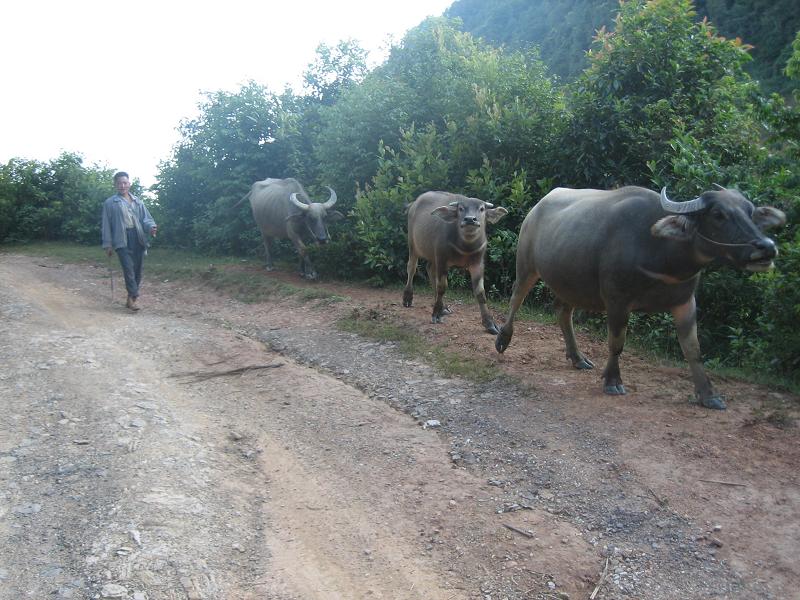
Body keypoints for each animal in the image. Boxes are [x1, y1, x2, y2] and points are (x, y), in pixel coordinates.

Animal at [404, 191, 510, 332]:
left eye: (482, 209)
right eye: (460, 208)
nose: (470, 219)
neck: (466, 247)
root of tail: (414, 204)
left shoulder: (478, 263)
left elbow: (480, 292)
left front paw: (490, 323)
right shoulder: (442, 259)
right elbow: (442, 286)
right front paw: (436, 314)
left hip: (433, 255)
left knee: (429, 268)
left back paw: (443, 307)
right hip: (413, 245)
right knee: (412, 267)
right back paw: (407, 298)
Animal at [496, 185, 784, 410]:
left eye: (750, 212)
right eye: (718, 214)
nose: (766, 247)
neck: (661, 250)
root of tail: (536, 208)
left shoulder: (685, 301)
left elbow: (693, 349)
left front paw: (709, 395)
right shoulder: (617, 300)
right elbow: (616, 343)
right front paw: (613, 381)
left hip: (571, 283)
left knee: (562, 311)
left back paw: (578, 357)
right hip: (527, 265)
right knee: (516, 298)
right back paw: (503, 339)